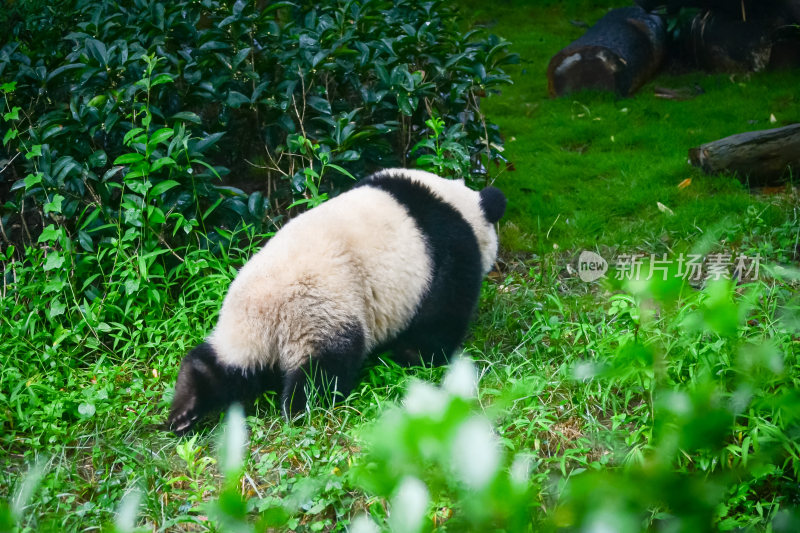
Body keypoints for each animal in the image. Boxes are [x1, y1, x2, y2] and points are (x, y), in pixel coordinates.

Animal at [166, 168, 506, 434]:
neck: (456, 202)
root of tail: (267, 309)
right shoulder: (449, 251)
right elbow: (441, 315)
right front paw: (415, 356)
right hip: (320, 307)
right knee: (325, 365)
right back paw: (303, 408)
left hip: (244, 329)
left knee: (228, 366)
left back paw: (185, 407)